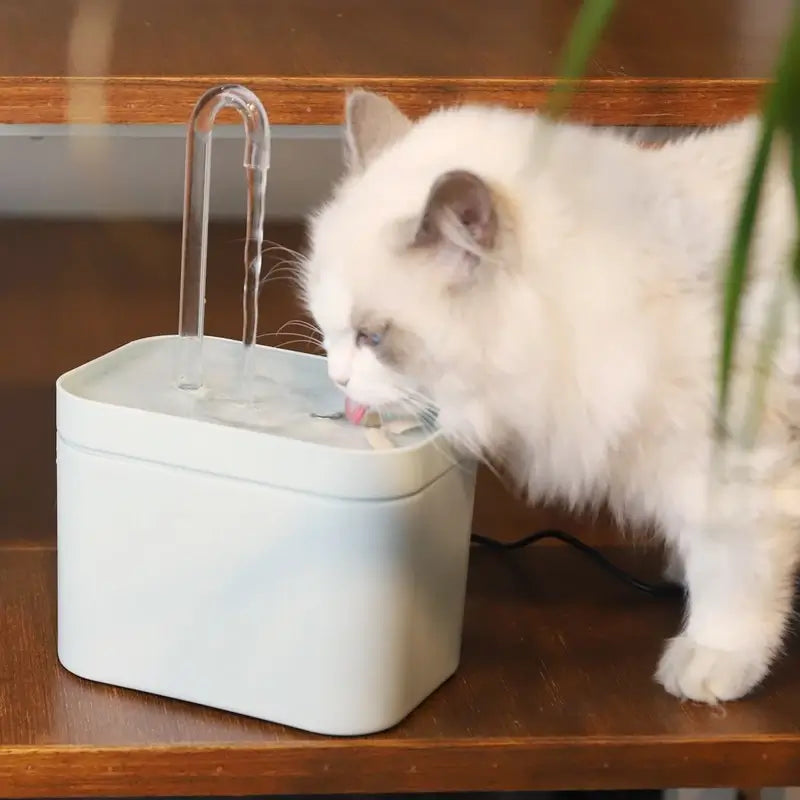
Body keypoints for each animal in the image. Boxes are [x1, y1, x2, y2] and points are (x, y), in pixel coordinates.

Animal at [302, 86, 800, 700]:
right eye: (325, 327)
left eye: (372, 338)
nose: (337, 378)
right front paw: (679, 576)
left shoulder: (730, 466)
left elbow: (733, 576)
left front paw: (712, 660)